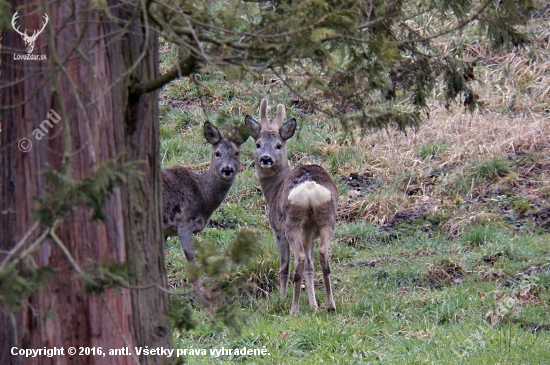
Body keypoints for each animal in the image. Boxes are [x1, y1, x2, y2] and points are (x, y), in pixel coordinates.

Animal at [163, 122, 249, 296]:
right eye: (217, 153)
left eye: (237, 153)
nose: (227, 169)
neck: (202, 195)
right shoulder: (184, 220)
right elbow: (190, 256)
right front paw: (202, 291)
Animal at [247, 99, 340, 312]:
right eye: (258, 144)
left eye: (278, 145)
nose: (265, 158)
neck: (273, 191)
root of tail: (309, 186)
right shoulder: (309, 235)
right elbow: (310, 268)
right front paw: (314, 305)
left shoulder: (277, 230)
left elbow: (284, 266)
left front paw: (281, 299)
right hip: (327, 217)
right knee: (323, 256)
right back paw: (330, 305)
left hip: (292, 222)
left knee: (299, 259)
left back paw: (293, 309)